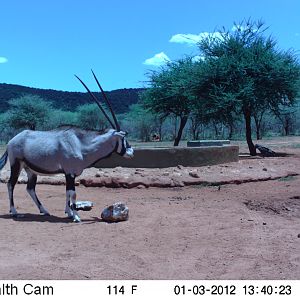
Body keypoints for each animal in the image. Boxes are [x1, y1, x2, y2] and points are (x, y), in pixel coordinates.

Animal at [0, 69, 134, 220]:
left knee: (30, 188)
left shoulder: (70, 174)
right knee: (11, 184)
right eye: (123, 138)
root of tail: (11, 141)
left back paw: (44, 210)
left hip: (30, 170)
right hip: (16, 164)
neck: (81, 143)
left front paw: (69, 212)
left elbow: (67, 192)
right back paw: (14, 211)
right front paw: (76, 216)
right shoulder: (70, 173)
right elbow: (73, 193)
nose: (131, 151)